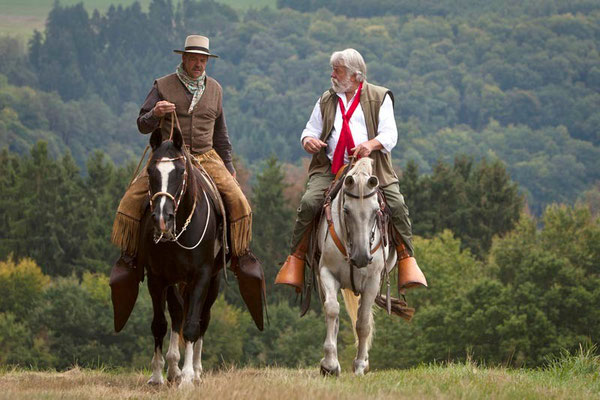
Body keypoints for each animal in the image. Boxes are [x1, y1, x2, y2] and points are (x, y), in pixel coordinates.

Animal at [314, 158, 398, 376]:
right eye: (346, 211)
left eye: (376, 211)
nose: (361, 257)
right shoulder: (326, 273)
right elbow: (332, 310)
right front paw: (329, 364)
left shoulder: (372, 281)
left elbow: (363, 323)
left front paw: (360, 365)